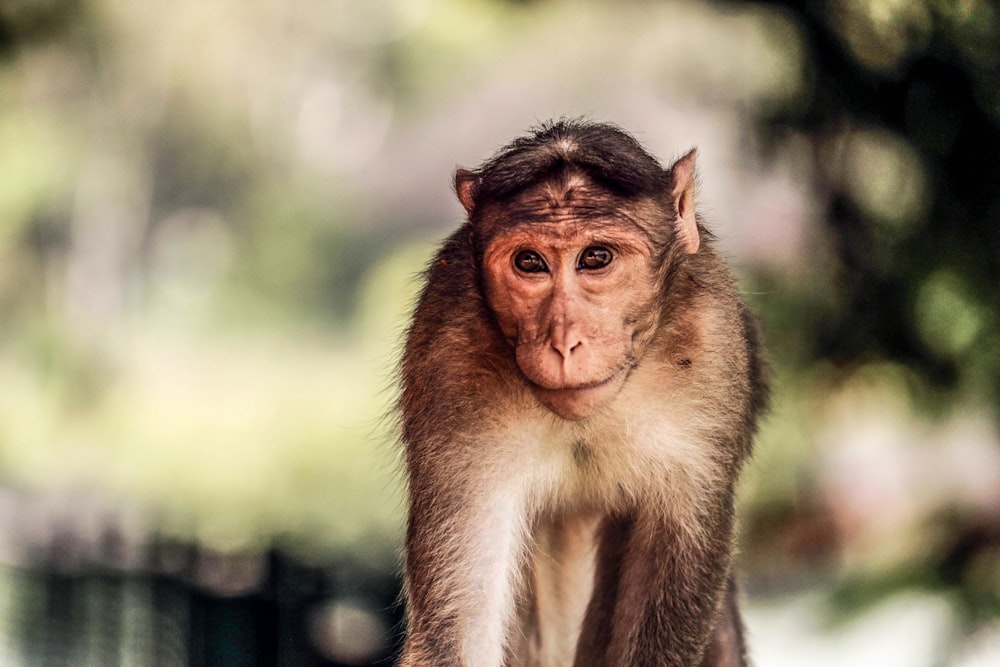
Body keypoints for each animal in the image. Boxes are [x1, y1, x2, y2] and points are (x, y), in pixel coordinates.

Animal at [396, 121, 764, 667]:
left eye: (596, 258)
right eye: (530, 262)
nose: (564, 340)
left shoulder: (711, 347)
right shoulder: (449, 356)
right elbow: (456, 625)